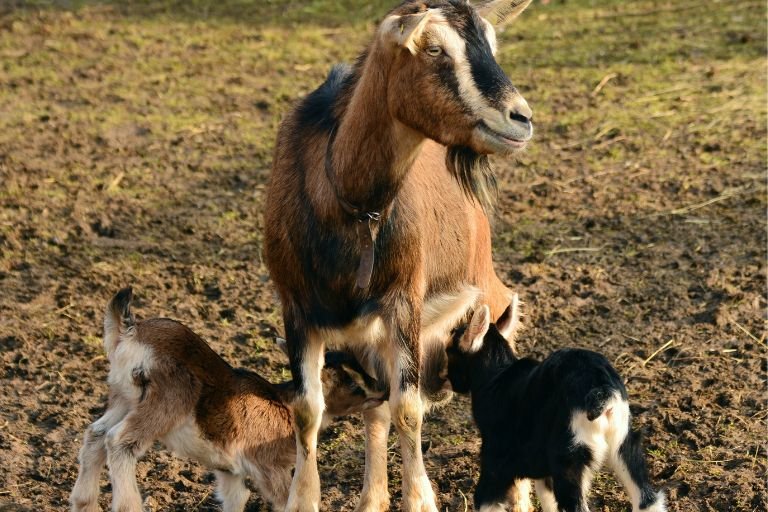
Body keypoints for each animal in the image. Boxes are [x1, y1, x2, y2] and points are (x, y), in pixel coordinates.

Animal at [69, 288, 384, 512]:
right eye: (352, 384)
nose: (383, 390)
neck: (283, 405)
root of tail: (130, 333)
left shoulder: (229, 470)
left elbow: (236, 499)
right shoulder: (268, 466)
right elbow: (286, 502)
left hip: (124, 397)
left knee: (96, 434)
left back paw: (84, 504)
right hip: (169, 397)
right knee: (119, 441)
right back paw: (128, 506)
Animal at [264, 1, 535, 510]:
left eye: (491, 43)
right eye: (433, 49)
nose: (521, 118)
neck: (347, 204)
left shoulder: (404, 299)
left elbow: (407, 409)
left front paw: (420, 498)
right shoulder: (296, 308)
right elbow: (309, 410)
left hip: (487, 292)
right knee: (376, 409)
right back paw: (372, 497)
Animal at [445, 298, 667, 512]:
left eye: (449, 351)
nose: (450, 382)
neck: (496, 376)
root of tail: (601, 388)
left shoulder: (495, 463)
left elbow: (486, 501)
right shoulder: (544, 470)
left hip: (570, 457)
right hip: (624, 444)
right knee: (648, 500)